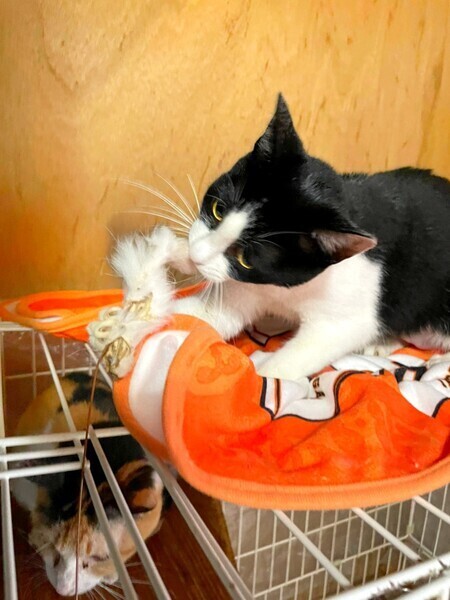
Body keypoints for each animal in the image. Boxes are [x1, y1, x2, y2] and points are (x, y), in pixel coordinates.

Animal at [111, 94, 450, 382]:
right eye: (218, 210)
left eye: (246, 257)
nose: (197, 255)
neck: (285, 291)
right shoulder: (252, 286)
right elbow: (210, 316)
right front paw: (123, 327)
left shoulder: (347, 314)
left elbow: (307, 350)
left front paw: (257, 379)